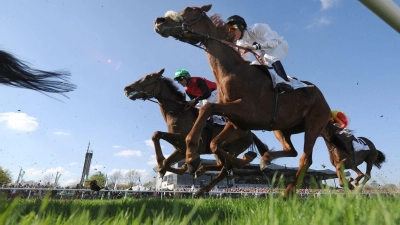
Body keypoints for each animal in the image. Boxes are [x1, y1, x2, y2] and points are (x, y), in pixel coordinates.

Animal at [123, 69, 270, 196]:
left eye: (148, 77)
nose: (127, 89)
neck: (178, 112)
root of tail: (250, 133)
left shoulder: (182, 139)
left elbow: (156, 134)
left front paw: (182, 164)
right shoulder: (180, 149)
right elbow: (169, 163)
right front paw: (166, 168)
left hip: (234, 148)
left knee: (227, 169)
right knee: (222, 165)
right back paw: (200, 172)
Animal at [153, 3, 332, 197]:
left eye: (189, 9)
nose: (159, 21)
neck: (233, 72)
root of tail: (322, 98)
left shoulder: (249, 113)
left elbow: (207, 109)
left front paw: (192, 158)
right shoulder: (237, 123)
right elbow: (214, 144)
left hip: (313, 125)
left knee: (305, 158)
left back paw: (287, 193)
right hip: (282, 128)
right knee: (291, 150)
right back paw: (265, 160)